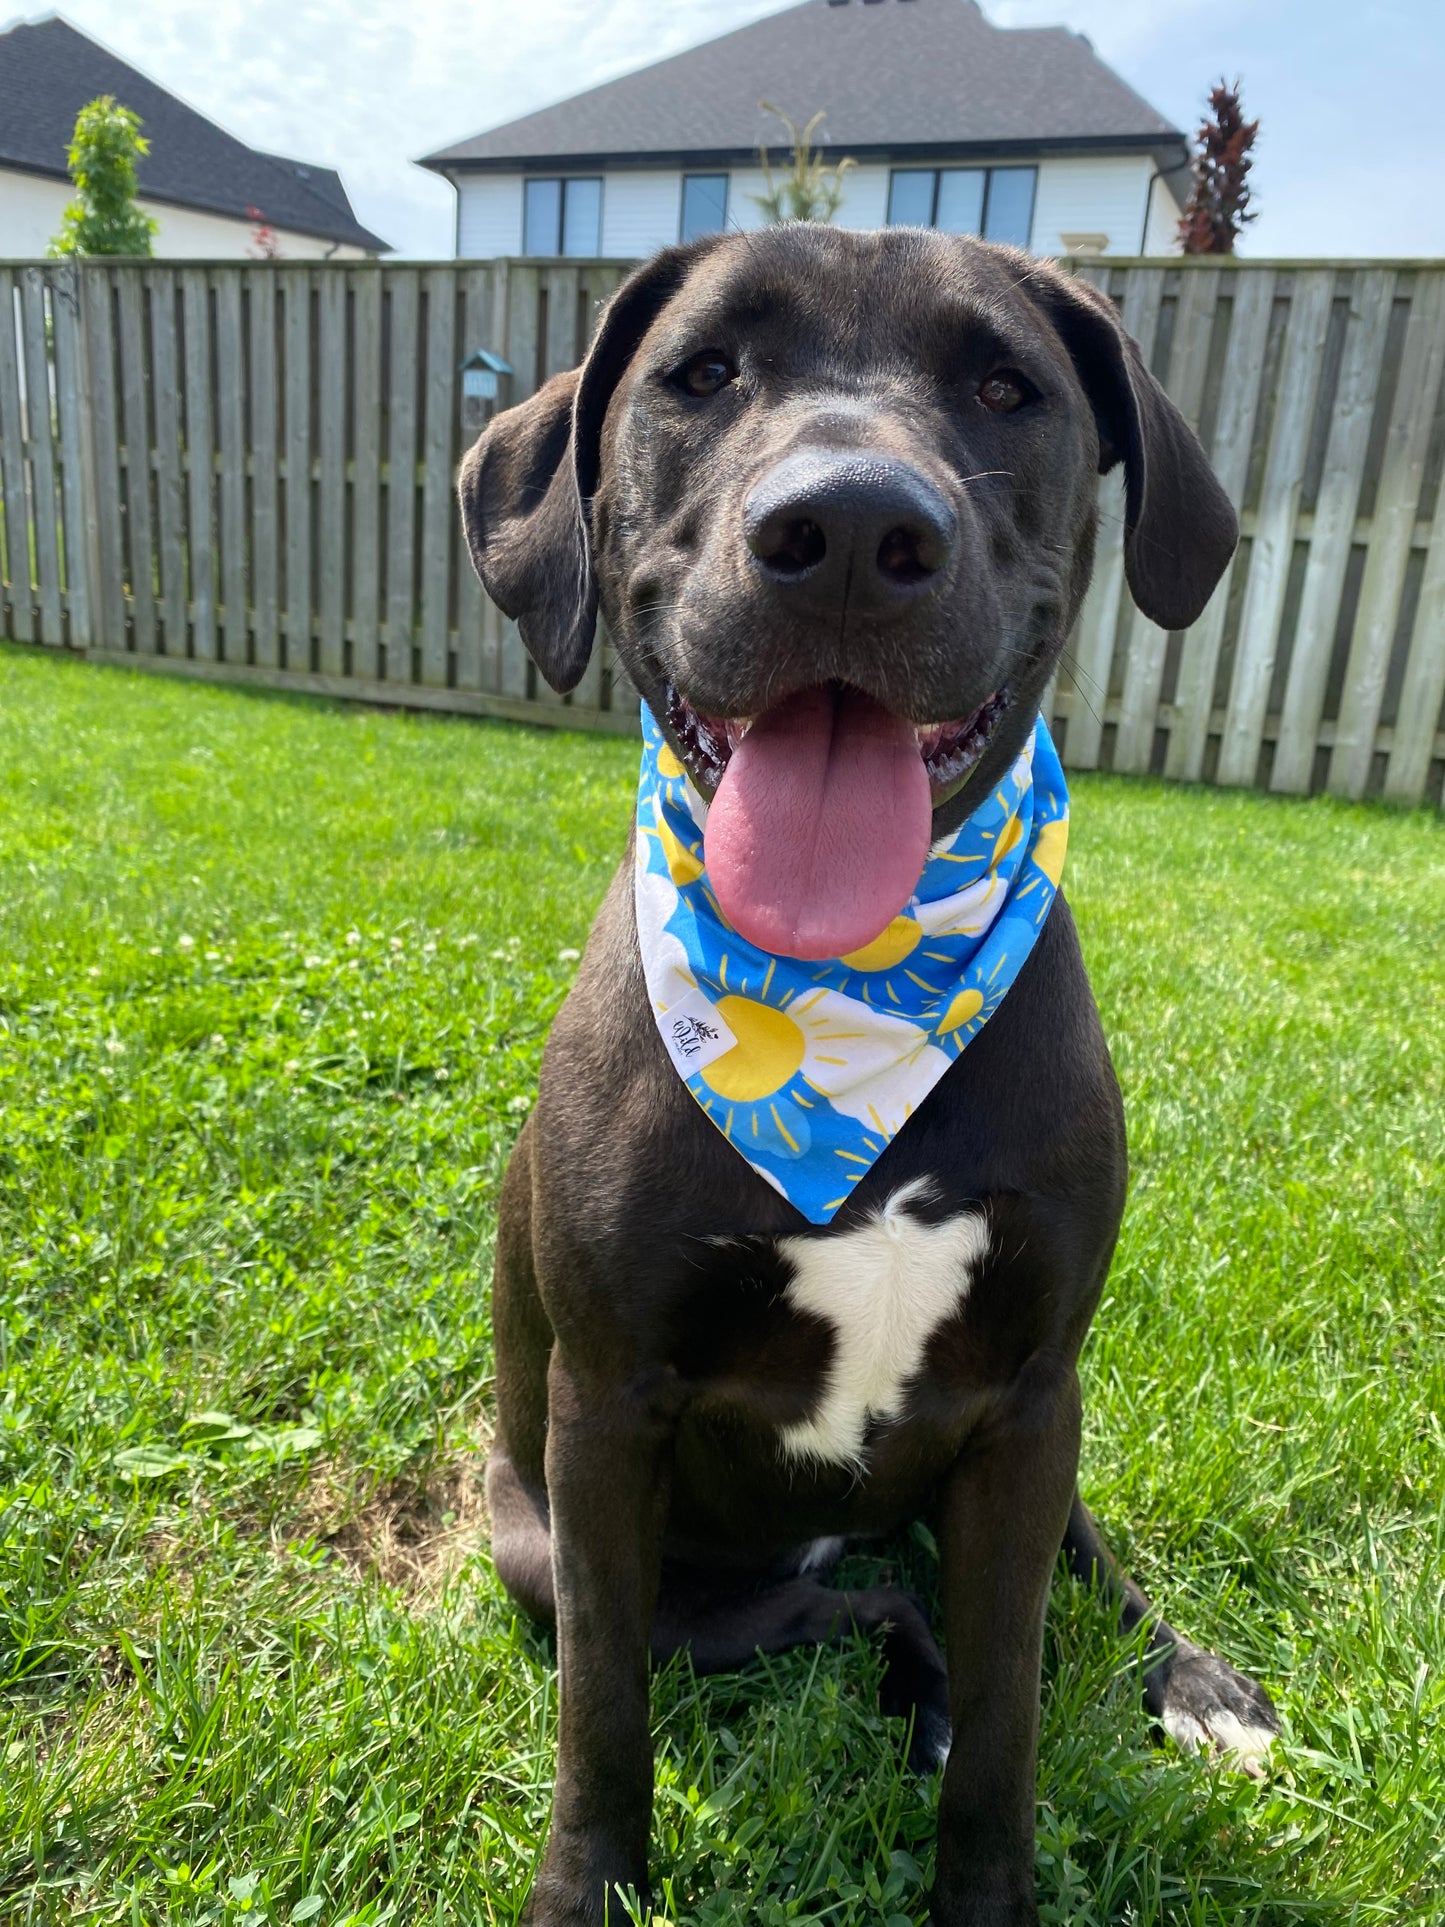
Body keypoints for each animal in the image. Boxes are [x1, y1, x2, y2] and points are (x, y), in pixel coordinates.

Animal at [454, 221, 1279, 1927]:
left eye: (1004, 385)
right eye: (702, 372)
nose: (845, 527)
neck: (847, 1006)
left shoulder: (1028, 1397)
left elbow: (1017, 1718)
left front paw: (989, 1886)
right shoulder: (604, 1414)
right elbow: (600, 1712)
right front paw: (589, 1885)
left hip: (1027, 1440)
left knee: (1059, 1578)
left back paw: (1191, 1682)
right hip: (566, 1548)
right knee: (880, 1616)